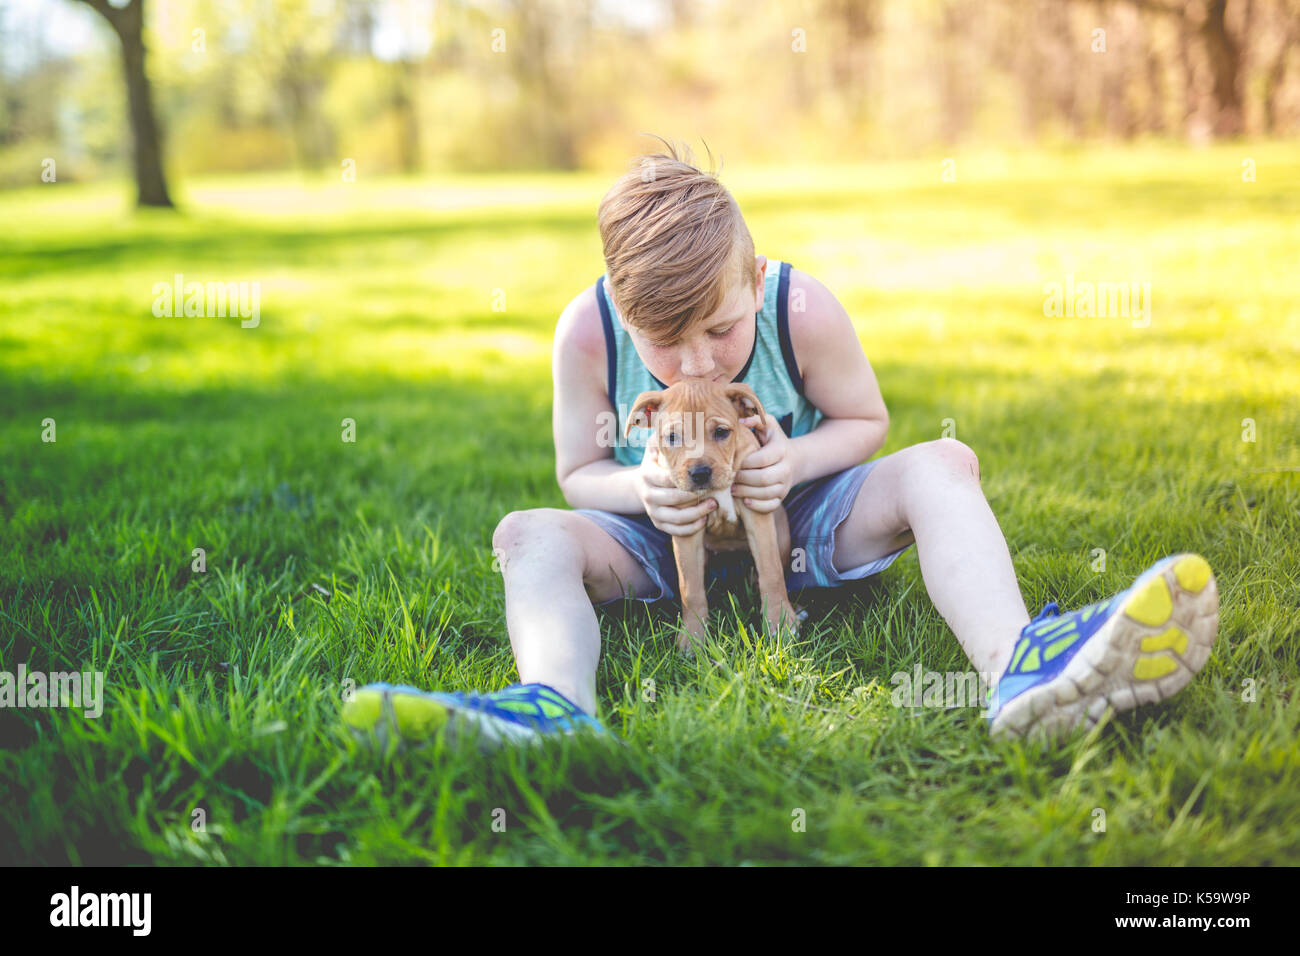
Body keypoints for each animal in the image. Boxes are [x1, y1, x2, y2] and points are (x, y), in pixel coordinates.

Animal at [624, 377, 795, 655]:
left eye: (722, 432)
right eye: (672, 437)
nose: (700, 473)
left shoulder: (757, 515)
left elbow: (771, 573)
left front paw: (781, 622)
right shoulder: (687, 527)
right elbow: (691, 589)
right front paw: (692, 638)